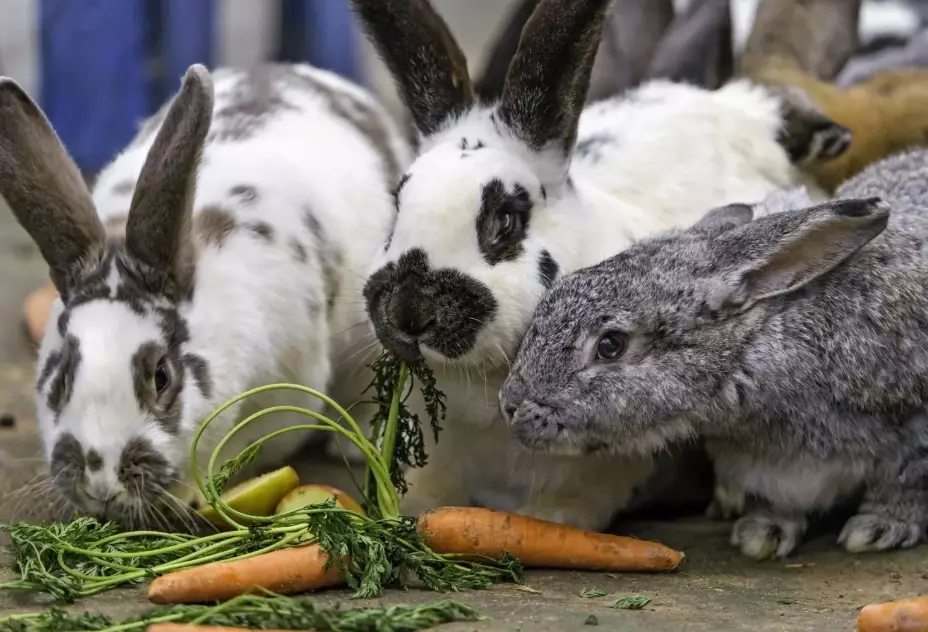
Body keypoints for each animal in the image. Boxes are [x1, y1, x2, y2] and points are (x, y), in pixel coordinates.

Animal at [500, 149, 928, 558]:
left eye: (610, 345)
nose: (510, 405)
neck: (753, 348)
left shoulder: (910, 436)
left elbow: (902, 487)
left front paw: (877, 529)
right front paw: (762, 533)